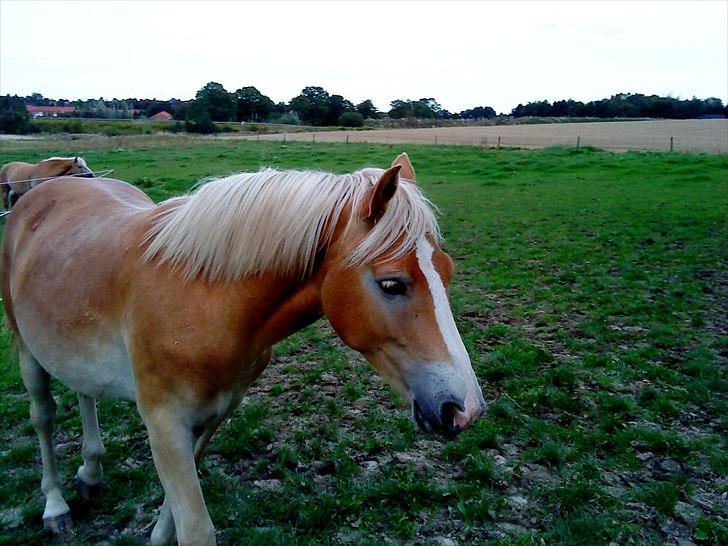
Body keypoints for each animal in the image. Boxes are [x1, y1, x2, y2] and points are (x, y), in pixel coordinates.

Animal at [4, 151, 490, 540]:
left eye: (447, 271)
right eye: (392, 284)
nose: (464, 408)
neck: (203, 299)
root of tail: (42, 190)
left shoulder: (213, 415)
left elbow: (173, 518)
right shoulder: (163, 422)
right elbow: (195, 528)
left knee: (83, 391)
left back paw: (90, 473)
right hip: (27, 351)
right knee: (43, 416)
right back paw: (56, 506)